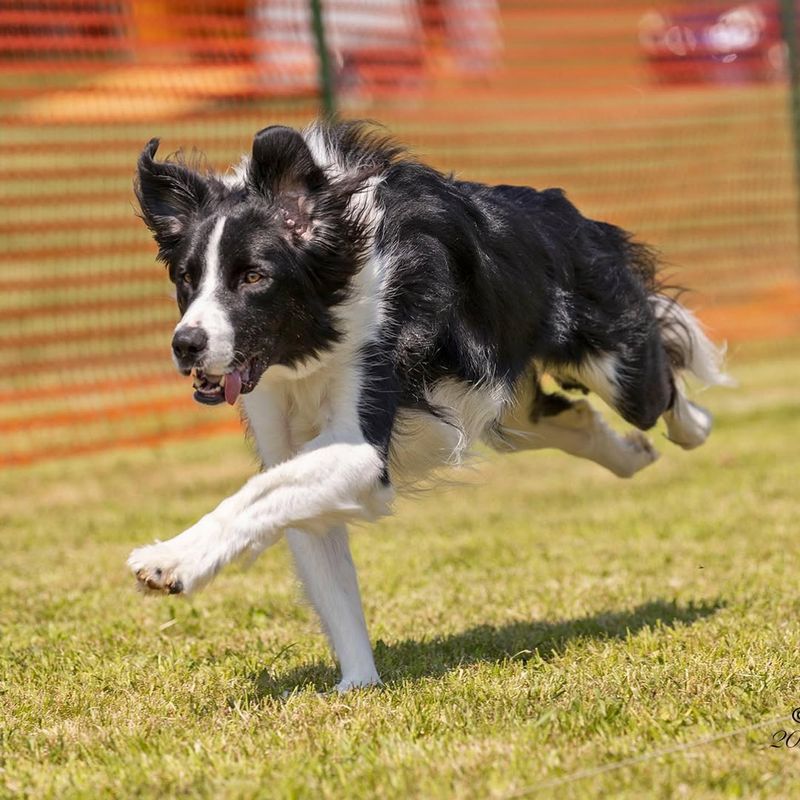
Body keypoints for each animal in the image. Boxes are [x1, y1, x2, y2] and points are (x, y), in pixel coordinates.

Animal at [128, 119, 728, 688]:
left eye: (253, 276)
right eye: (186, 278)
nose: (186, 344)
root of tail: (565, 209)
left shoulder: (363, 438)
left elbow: (257, 494)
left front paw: (168, 561)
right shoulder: (284, 422)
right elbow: (312, 546)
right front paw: (358, 686)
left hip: (615, 362)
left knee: (658, 372)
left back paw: (695, 424)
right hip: (497, 400)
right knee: (567, 417)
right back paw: (633, 454)